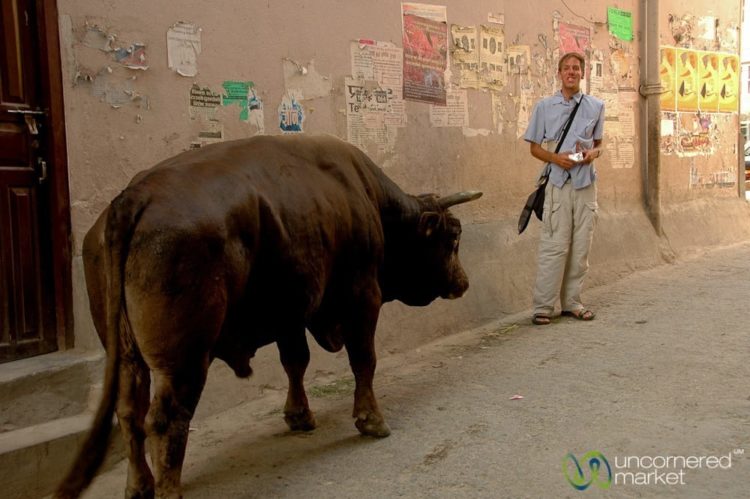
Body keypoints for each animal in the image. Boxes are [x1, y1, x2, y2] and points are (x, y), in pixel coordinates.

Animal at [56, 134, 481, 499]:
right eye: (454, 237)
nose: (463, 281)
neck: (367, 197)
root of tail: (136, 195)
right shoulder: (362, 297)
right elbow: (364, 361)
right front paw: (370, 420)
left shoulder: (290, 313)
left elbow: (295, 362)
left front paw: (299, 416)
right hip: (183, 360)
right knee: (165, 418)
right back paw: (167, 488)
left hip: (127, 356)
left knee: (130, 413)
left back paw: (139, 484)